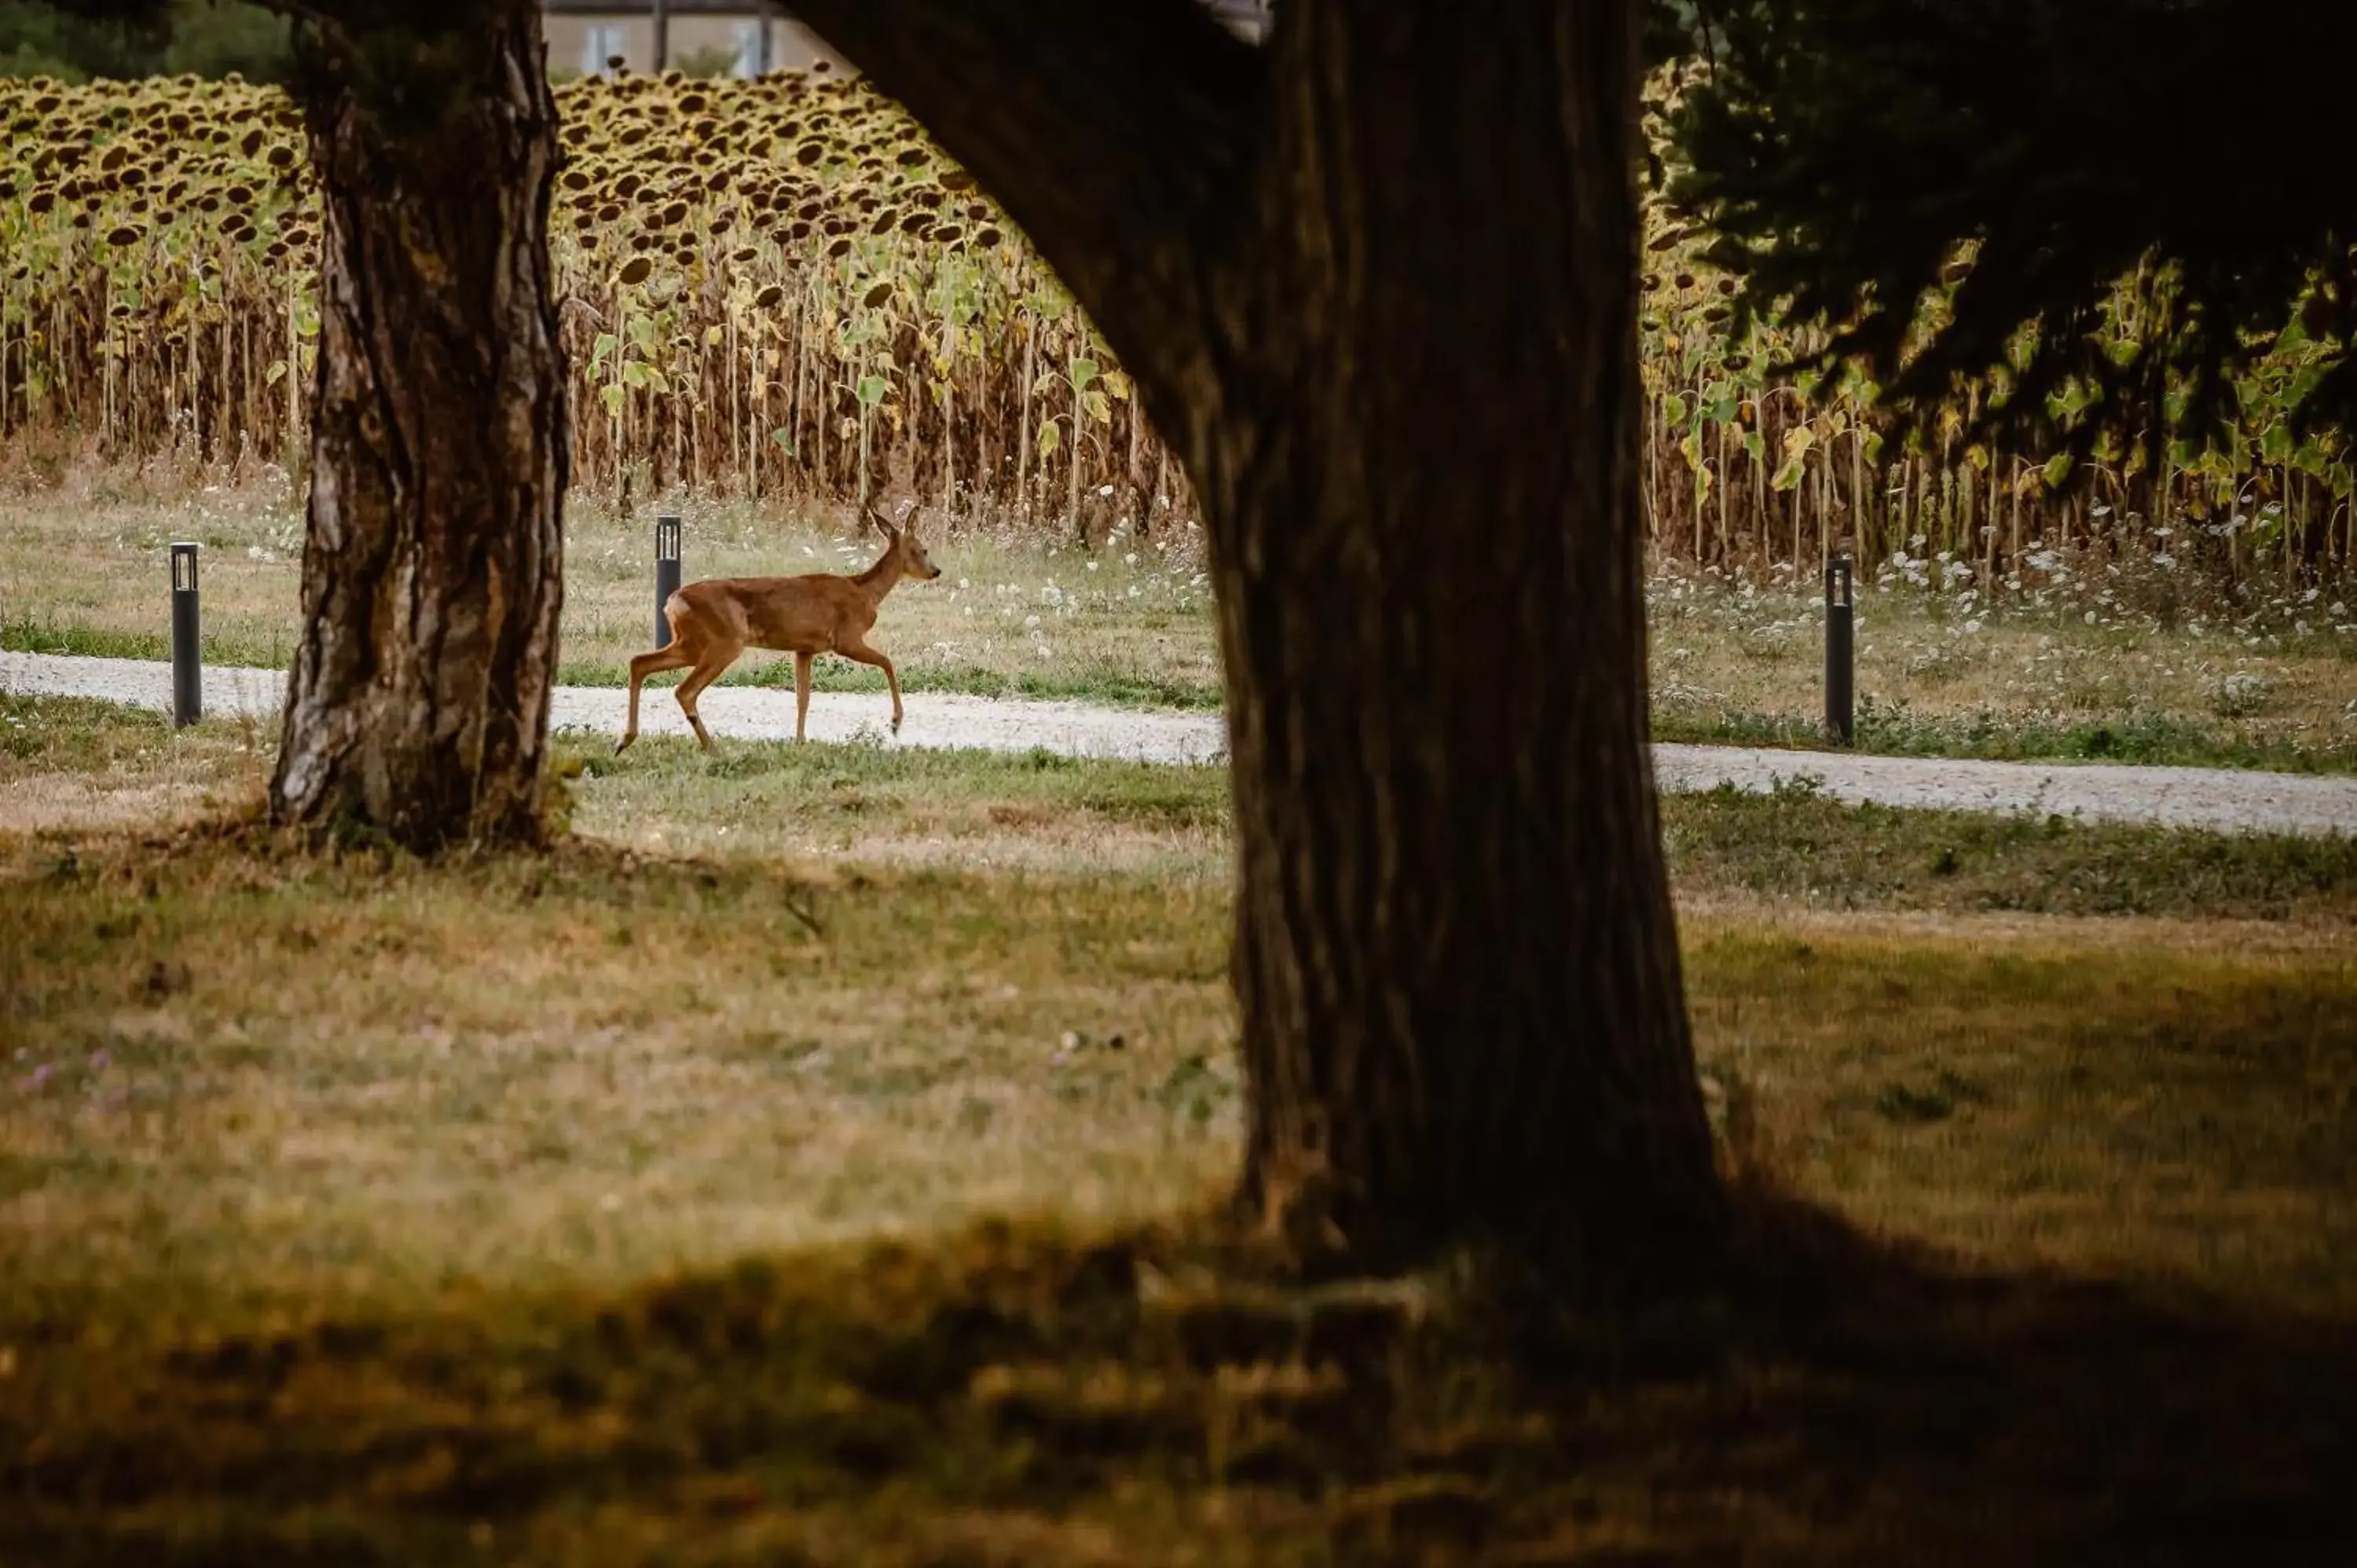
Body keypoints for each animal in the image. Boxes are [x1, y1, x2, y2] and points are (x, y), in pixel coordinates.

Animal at [622, 502, 943, 745]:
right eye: (923, 549)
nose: (936, 571)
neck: (865, 592)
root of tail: (672, 601)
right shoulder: (846, 638)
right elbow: (888, 662)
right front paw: (895, 723)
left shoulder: (805, 648)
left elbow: (803, 697)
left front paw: (799, 740)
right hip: (723, 643)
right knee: (684, 691)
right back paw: (711, 748)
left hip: (690, 643)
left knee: (640, 662)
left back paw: (627, 740)